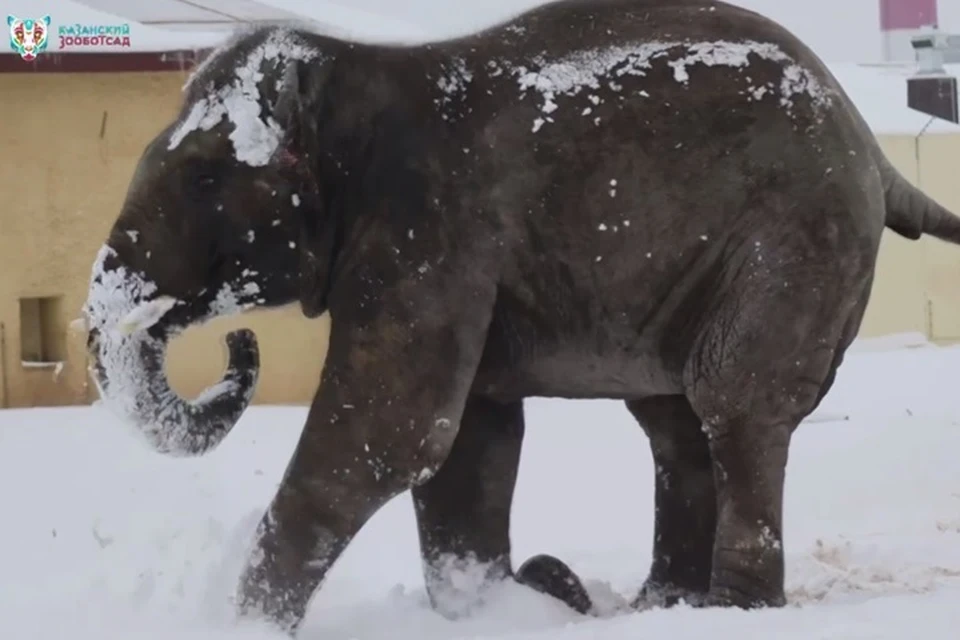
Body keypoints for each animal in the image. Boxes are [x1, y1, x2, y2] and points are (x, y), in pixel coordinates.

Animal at [79, 0, 960, 636]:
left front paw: (243, 625)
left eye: (202, 181)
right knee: (673, 422)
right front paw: (502, 606)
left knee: (734, 409)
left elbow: (390, 432)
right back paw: (659, 604)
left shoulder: (430, 230)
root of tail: (876, 155)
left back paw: (729, 610)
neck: (352, 72)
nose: (237, 342)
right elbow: (469, 443)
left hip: (793, 242)